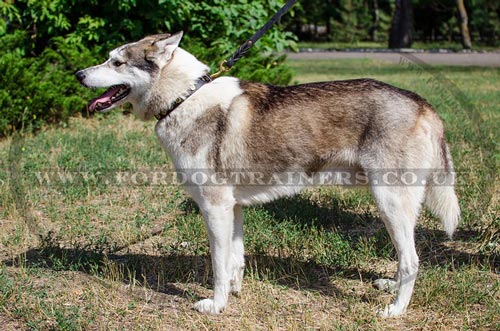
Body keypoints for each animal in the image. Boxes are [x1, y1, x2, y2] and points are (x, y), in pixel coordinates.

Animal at [75, 31, 460, 320]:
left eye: (117, 62)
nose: (78, 75)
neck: (183, 98)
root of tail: (422, 103)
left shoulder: (214, 207)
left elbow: (218, 265)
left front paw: (216, 305)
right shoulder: (233, 207)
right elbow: (235, 259)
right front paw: (234, 293)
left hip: (389, 202)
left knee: (412, 261)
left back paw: (395, 310)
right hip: (395, 208)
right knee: (405, 258)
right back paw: (389, 287)